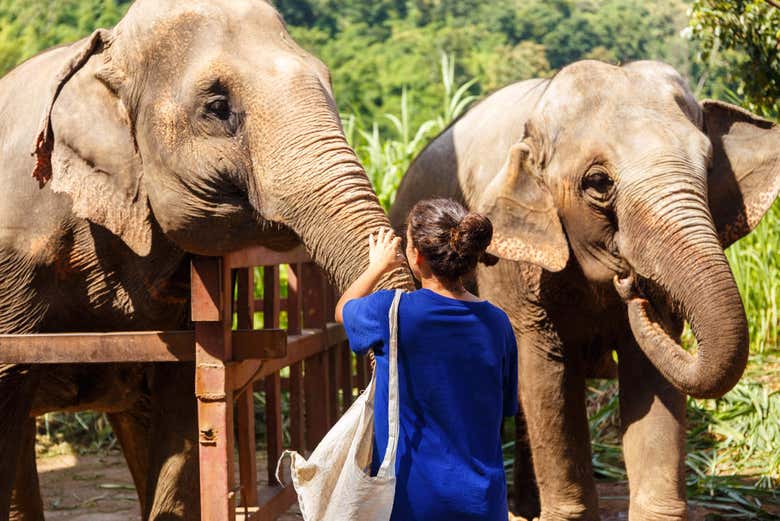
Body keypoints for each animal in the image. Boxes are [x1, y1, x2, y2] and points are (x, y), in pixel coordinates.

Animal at [390, 60, 780, 521]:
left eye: (707, 165)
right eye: (597, 182)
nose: (634, 285)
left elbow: (650, 374)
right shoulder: (511, 268)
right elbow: (545, 374)